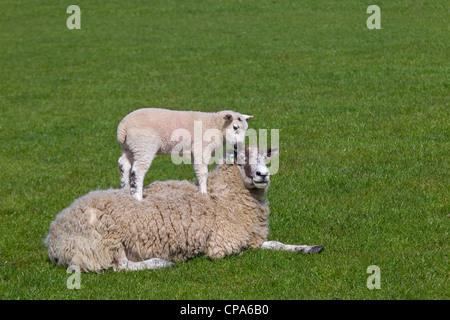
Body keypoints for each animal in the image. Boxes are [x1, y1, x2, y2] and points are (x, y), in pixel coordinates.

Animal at [44, 146, 324, 272]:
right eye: (240, 158)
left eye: (265, 157)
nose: (263, 175)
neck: (222, 198)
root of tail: (53, 238)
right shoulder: (222, 245)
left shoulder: (253, 237)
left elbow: (276, 244)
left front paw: (309, 247)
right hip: (105, 240)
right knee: (121, 266)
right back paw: (161, 262)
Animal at [117, 107, 253, 200]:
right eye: (235, 127)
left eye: (246, 129)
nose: (238, 145)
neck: (216, 126)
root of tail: (123, 127)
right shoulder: (201, 149)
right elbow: (203, 172)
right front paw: (204, 192)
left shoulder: (195, 152)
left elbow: (198, 170)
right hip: (144, 146)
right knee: (138, 171)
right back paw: (138, 196)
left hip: (130, 148)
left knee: (124, 164)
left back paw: (125, 189)